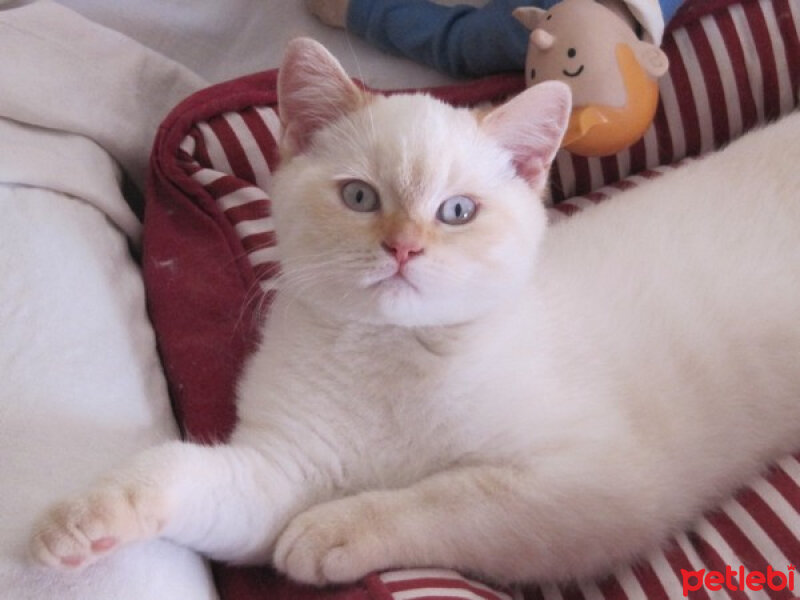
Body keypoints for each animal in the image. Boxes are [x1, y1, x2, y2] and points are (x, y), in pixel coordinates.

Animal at [31, 37, 800, 584]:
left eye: (457, 212)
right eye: (360, 197)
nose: (403, 248)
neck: (392, 352)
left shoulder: (600, 483)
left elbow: (459, 496)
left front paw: (335, 529)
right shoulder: (281, 469)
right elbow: (181, 473)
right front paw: (81, 519)